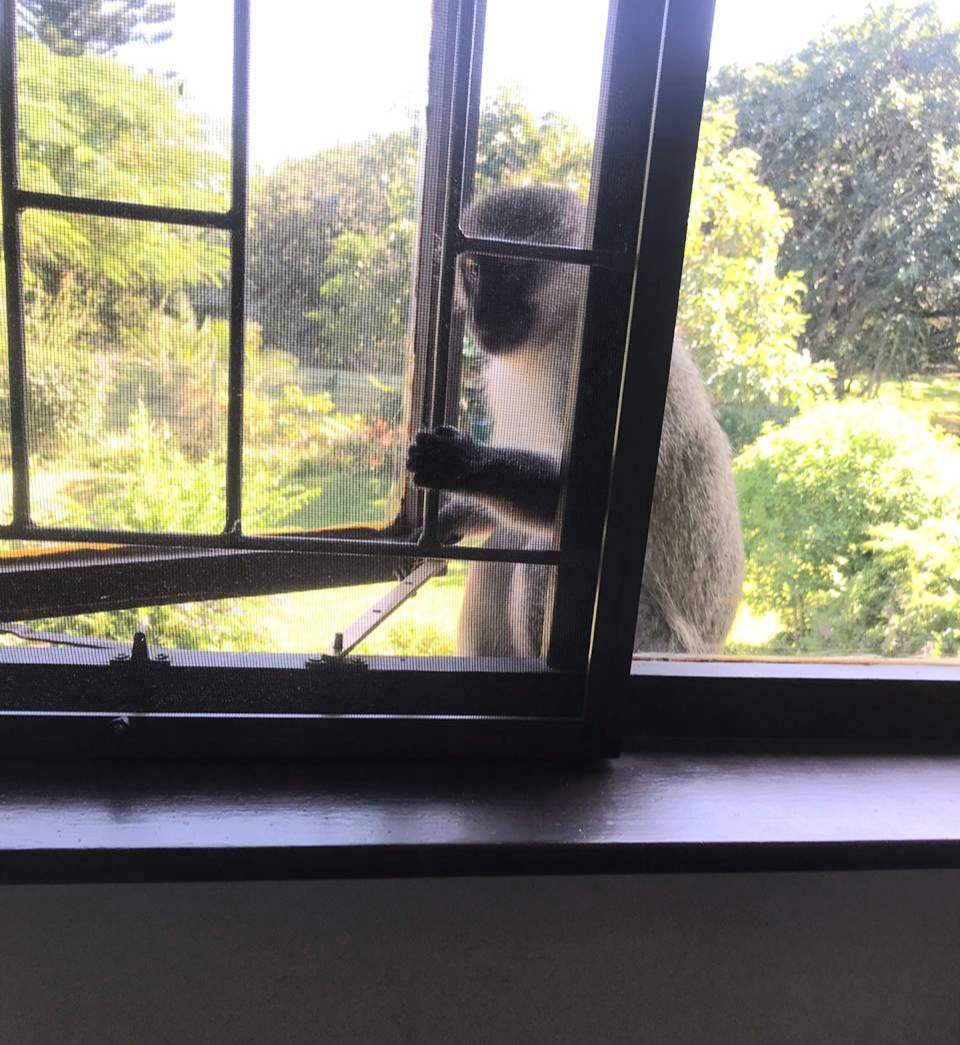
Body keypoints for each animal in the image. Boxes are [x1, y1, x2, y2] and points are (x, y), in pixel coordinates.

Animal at [407, 185, 744, 658]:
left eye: (509, 270)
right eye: (474, 268)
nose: (481, 313)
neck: (558, 327)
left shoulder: (592, 368)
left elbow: (578, 503)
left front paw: (460, 464)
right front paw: (455, 513)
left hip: (651, 637)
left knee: (540, 557)